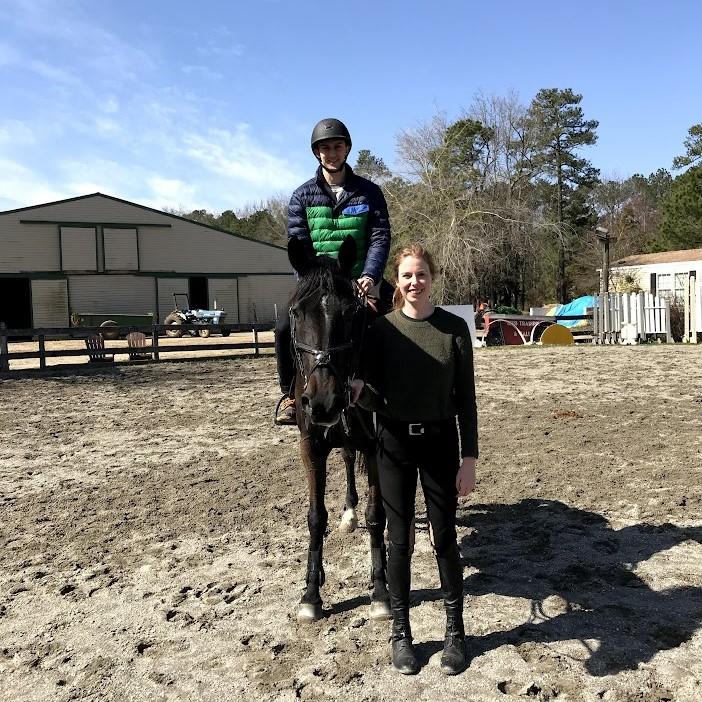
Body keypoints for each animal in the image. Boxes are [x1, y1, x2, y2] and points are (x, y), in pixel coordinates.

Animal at [286, 234, 391, 623]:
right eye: (297, 313)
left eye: (350, 313)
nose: (323, 401)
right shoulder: (311, 446)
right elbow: (316, 518)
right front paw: (311, 594)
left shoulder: (375, 446)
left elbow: (377, 516)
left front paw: (380, 591)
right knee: (346, 459)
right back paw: (348, 513)